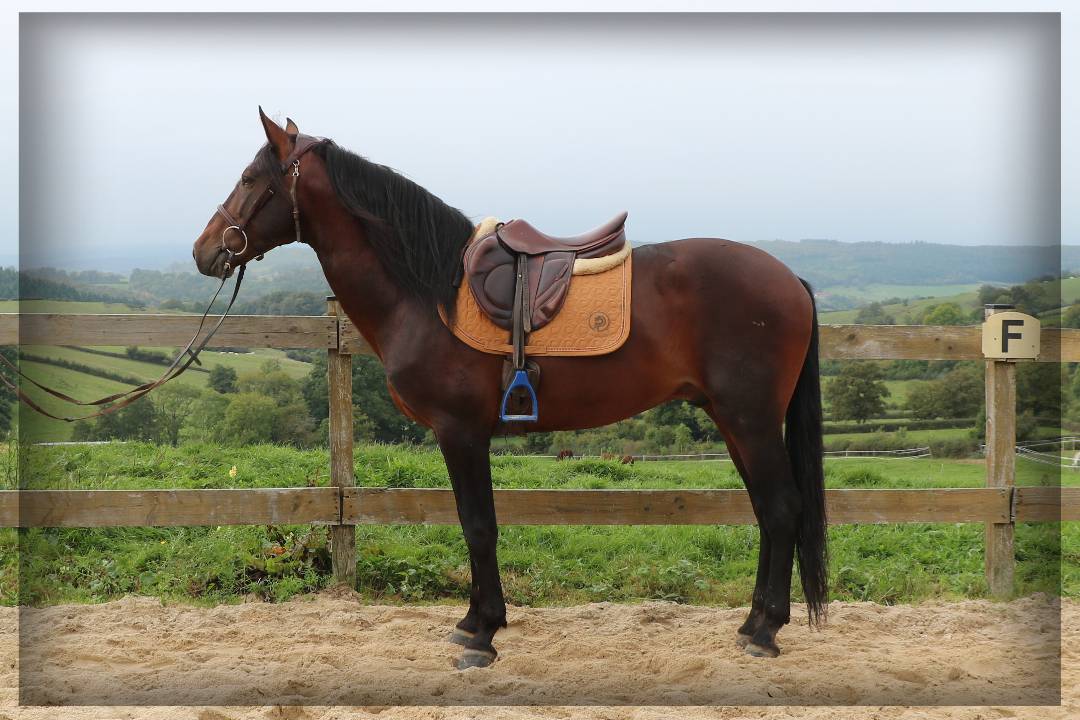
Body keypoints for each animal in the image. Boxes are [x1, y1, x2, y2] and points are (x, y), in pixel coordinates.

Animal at [192, 109, 827, 668]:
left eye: (249, 179)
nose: (204, 251)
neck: (430, 291)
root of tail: (789, 279)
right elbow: (474, 525)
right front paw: (474, 622)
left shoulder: (461, 433)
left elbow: (479, 526)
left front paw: (483, 635)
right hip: (730, 418)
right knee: (768, 511)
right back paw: (752, 623)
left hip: (749, 419)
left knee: (781, 508)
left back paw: (765, 632)